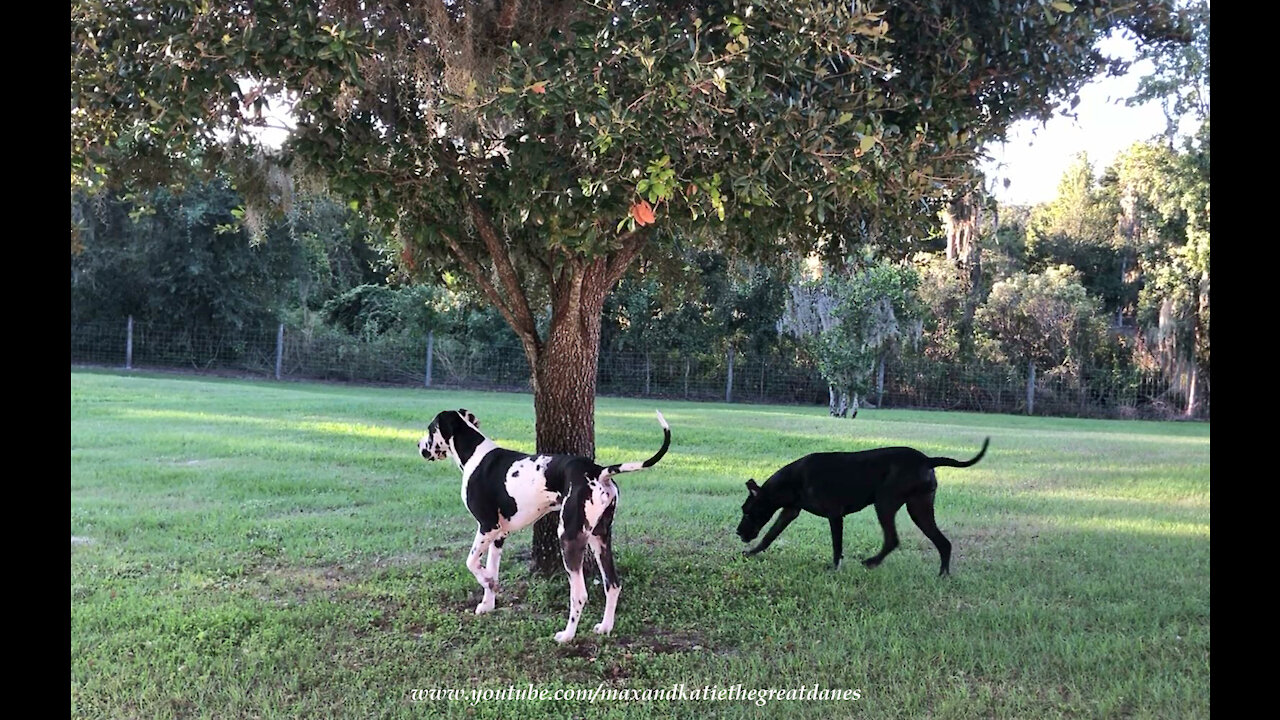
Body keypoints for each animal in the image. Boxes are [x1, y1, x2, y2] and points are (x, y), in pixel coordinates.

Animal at [419, 407, 670, 640]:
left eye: (430, 429)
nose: (419, 445)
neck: (474, 455)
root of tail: (599, 472)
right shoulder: (498, 535)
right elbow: (491, 568)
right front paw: (488, 602)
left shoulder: (487, 526)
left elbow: (472, 563)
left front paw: (489, 584)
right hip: (600, 539)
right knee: (613, 584)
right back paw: (605, 627)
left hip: (568, 538)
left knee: (579, 595)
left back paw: (567, 636)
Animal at [732, 438, 988, 571]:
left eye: (747, 512)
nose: (738, 532)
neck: (793, 480)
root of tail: (927, 460)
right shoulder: (789, 512)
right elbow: (769, 537)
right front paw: (751, 553)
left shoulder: (835, 515)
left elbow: (837, 546)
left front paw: (834, 568)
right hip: (919, 508)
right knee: (943, 543)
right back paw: (942, 575)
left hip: (886, 504)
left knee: (893, 539)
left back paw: (873, 561)